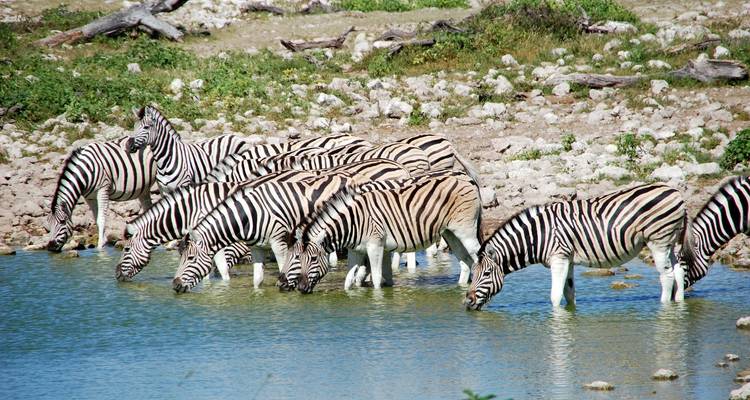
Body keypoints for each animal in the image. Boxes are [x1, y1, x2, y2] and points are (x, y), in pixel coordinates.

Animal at [173, 159, 413, 292]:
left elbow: (283, 267)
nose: (175, 285)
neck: (250, 213)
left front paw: (286, 286)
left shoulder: (279, 241)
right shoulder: (257, 246)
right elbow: (257, 280)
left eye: (190, 258)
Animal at [287, 171, 482, 294]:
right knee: (466, 263)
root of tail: (467, 178)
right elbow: (348, 280)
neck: (353, 221)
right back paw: (459, 289)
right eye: (299, 259)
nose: (301, 289)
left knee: (479, 257)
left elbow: (376, 278)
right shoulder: (356, 250)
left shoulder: (375, 246)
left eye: (312, 259)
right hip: (451, 233)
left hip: (465, 231)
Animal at [464, 183, 693, 310]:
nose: (467, 302)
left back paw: (664, 307)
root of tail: (676, 193)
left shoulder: (558, 257)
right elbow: (569, 292)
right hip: (670, 242)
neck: (538, 236)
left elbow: (555, 295)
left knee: (667, 276)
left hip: (658, 241)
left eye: (485, 274)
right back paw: (679, 304)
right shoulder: (569, 259)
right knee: (678, 271)